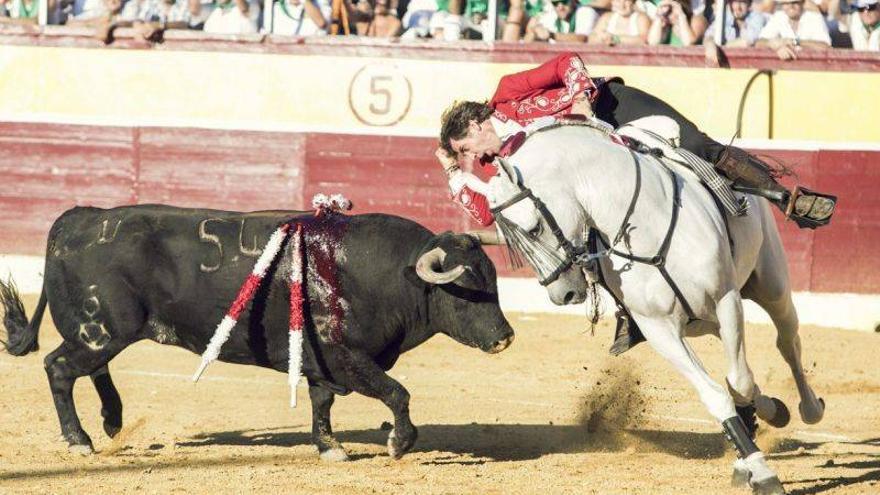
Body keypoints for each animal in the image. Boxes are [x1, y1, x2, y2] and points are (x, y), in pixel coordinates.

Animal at [0, 204, 512, 462]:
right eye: (465, 290)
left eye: (493, 280)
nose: (505, 337)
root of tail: (80, 217)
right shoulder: (348, 356)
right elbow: (397, 393)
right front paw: (399, 444)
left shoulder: (322, 362)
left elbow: (322, 402)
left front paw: (330, 447)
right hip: (102, 328)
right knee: (60, 368)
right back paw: (80, 439)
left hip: (102, 329)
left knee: (92, 367)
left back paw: (112, 420)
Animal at [488, 121, 824, 495]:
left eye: (534, 227)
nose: (563, 294)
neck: (642, 223)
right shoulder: (659, 329)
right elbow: (718, 393)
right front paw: (755, 461)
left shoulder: (725, 299)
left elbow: (740, 381)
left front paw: (761, 467)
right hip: (703, 321)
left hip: (771, 284)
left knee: (787, 342)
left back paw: (809, 408)